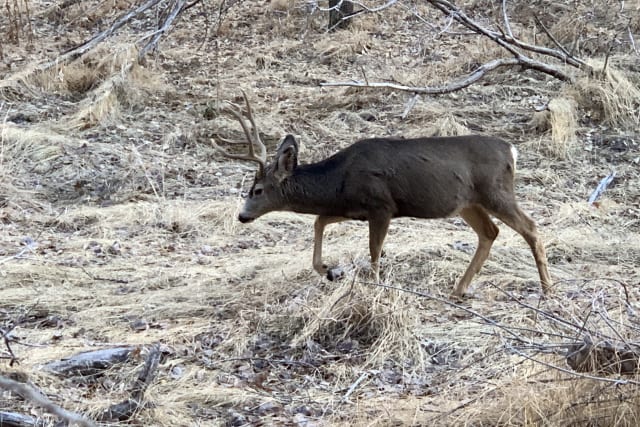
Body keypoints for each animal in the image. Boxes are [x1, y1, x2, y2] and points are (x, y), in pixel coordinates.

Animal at [211, 92, 552, 298]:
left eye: (257, 190)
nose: (242, 216)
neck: (338, 179)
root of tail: (511, 150)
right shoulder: (351, 207)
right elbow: (320, 221)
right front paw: (328, 270)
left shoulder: (382, 206)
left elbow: (374, 251)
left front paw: (372, 288)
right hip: (468, 203)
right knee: (490, 232)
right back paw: (459, 289)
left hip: (495, 191)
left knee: (531, 227)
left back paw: (547, 288)